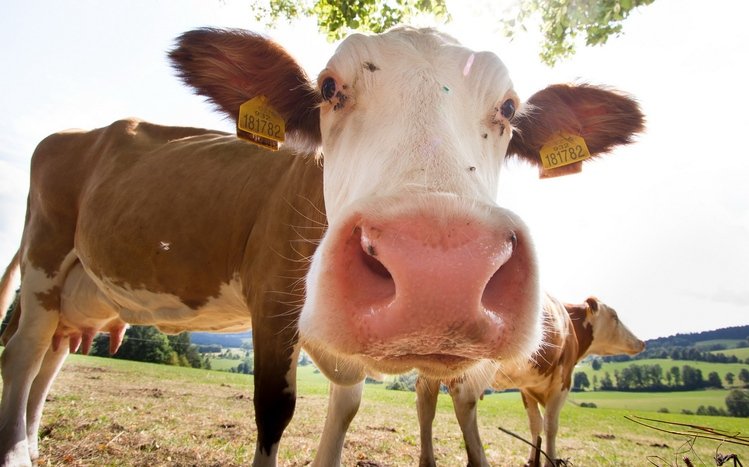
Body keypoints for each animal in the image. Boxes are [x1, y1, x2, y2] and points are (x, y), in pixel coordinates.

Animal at [415, 295, 645, 467]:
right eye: (615, 316)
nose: (642, 342)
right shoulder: (563, 381)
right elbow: (551, 425)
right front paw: (550, 461)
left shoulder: (527, 388)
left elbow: (536, 423)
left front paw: (532, 459)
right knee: (465, 402)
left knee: (425, 403)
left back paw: (427, 462)